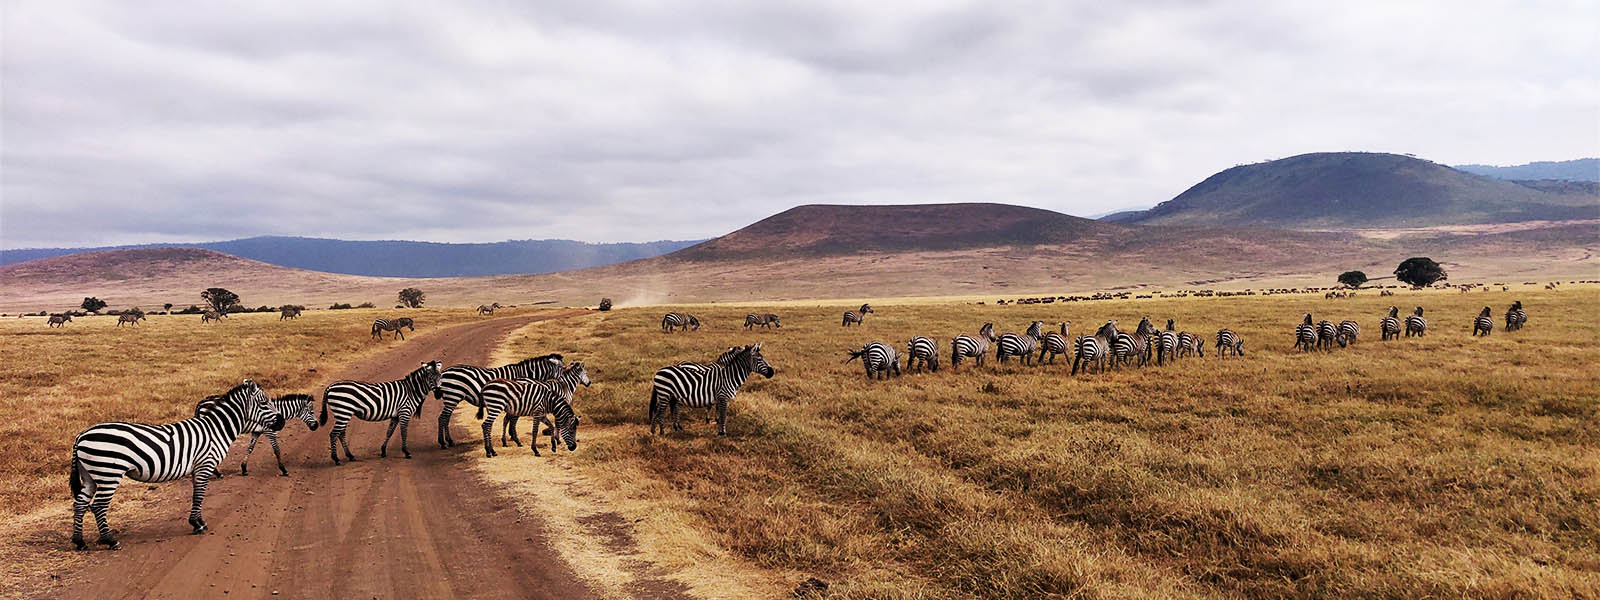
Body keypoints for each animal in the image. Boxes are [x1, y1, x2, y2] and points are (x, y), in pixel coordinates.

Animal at [71, 380, 284, 550]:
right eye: (264, 403)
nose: (281, 422)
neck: (216, 430)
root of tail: (81, 435)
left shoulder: (197, 468)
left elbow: (196, 494)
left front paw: (197, 522)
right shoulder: (205, 464)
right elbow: (199, 495)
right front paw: (198, 524)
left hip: (90, 475)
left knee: (80, 503)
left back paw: (79, 542)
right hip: (108, 473)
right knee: (98, 506)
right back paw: (110, 541)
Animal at [435, 355, 566, 448]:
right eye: (564, 368)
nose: (564, 385)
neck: (523, 374)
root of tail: (444, 372)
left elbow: (510, 419)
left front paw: (510, 436)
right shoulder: (517, 399)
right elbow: (512, 420)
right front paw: (513, 437)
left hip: (451, 398)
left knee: (445, 418)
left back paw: (449, 441)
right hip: (453, 396)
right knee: (442, 418)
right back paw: (443, 443)